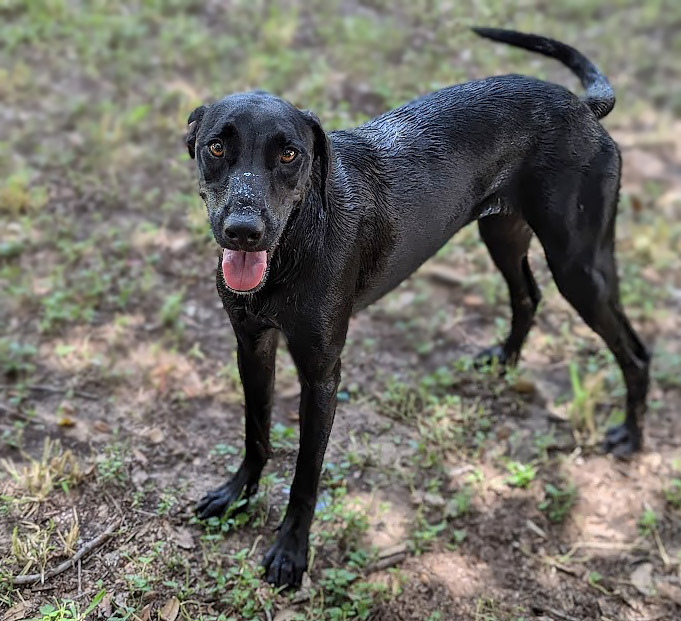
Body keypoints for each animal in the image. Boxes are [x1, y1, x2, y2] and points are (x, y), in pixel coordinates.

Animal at [185, 29, 648, 588]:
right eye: (216, 146)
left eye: (290, 154)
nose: (243, 231)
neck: (292, 246)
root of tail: (582, 107)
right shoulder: (251, 346)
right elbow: (255, 432)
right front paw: (237, 495)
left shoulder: (322, 375)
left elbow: (306, 473)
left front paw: (291, 551)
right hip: (503, 233)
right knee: (528, 296)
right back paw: (505, 361)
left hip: (579, 265)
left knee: (635, 350)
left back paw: (631, 435)